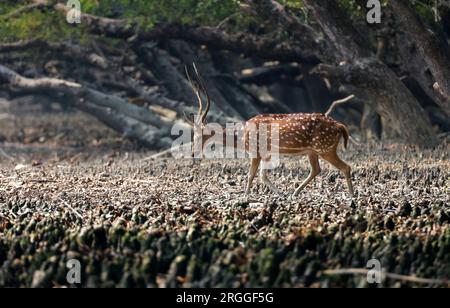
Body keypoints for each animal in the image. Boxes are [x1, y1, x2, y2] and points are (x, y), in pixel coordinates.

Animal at [185, 64, 354, 199]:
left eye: (198, 135)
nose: (192, 152)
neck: (242, 139)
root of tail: (340, 126)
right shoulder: (265, 153)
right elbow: (262, 175)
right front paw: (279, 192)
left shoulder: (256, 150)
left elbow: (251, 174)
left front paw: (246, 194)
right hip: (313, 150)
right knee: (316, 169)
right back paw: (295, 192)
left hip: (325, 147)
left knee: (345, 167)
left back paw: (351, 195)